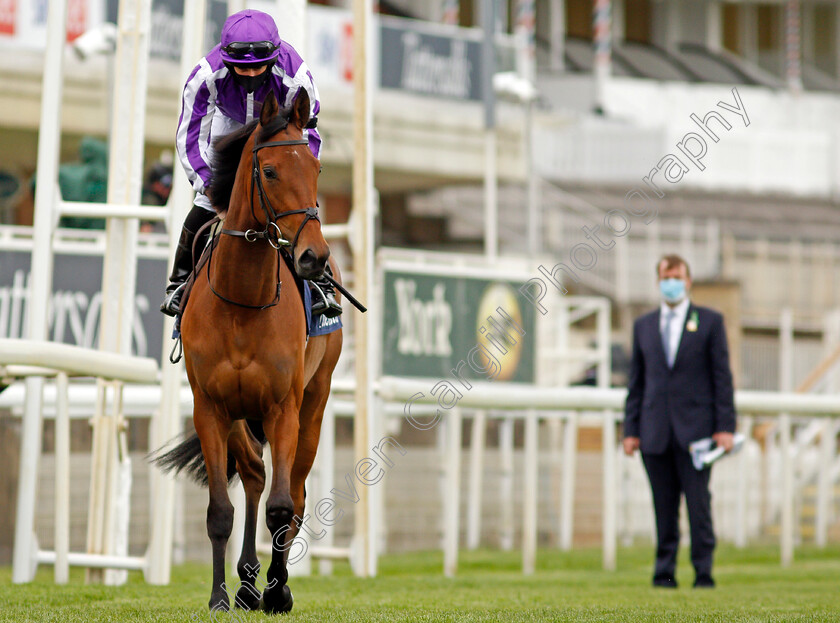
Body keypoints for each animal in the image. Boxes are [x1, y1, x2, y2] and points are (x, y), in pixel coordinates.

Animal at [154, 92, 342, 616]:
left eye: (316, 168)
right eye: (271, 171)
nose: (313, 258)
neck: (242, 299)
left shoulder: (283, 406)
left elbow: (283, 508)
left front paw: (278, 592)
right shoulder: (211, 408)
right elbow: (222, 509)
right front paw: (220, 595)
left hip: (314, 403)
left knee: (294, 494)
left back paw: (271, 583)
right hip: (241, 415)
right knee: (255, 476)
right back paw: (245, 582)